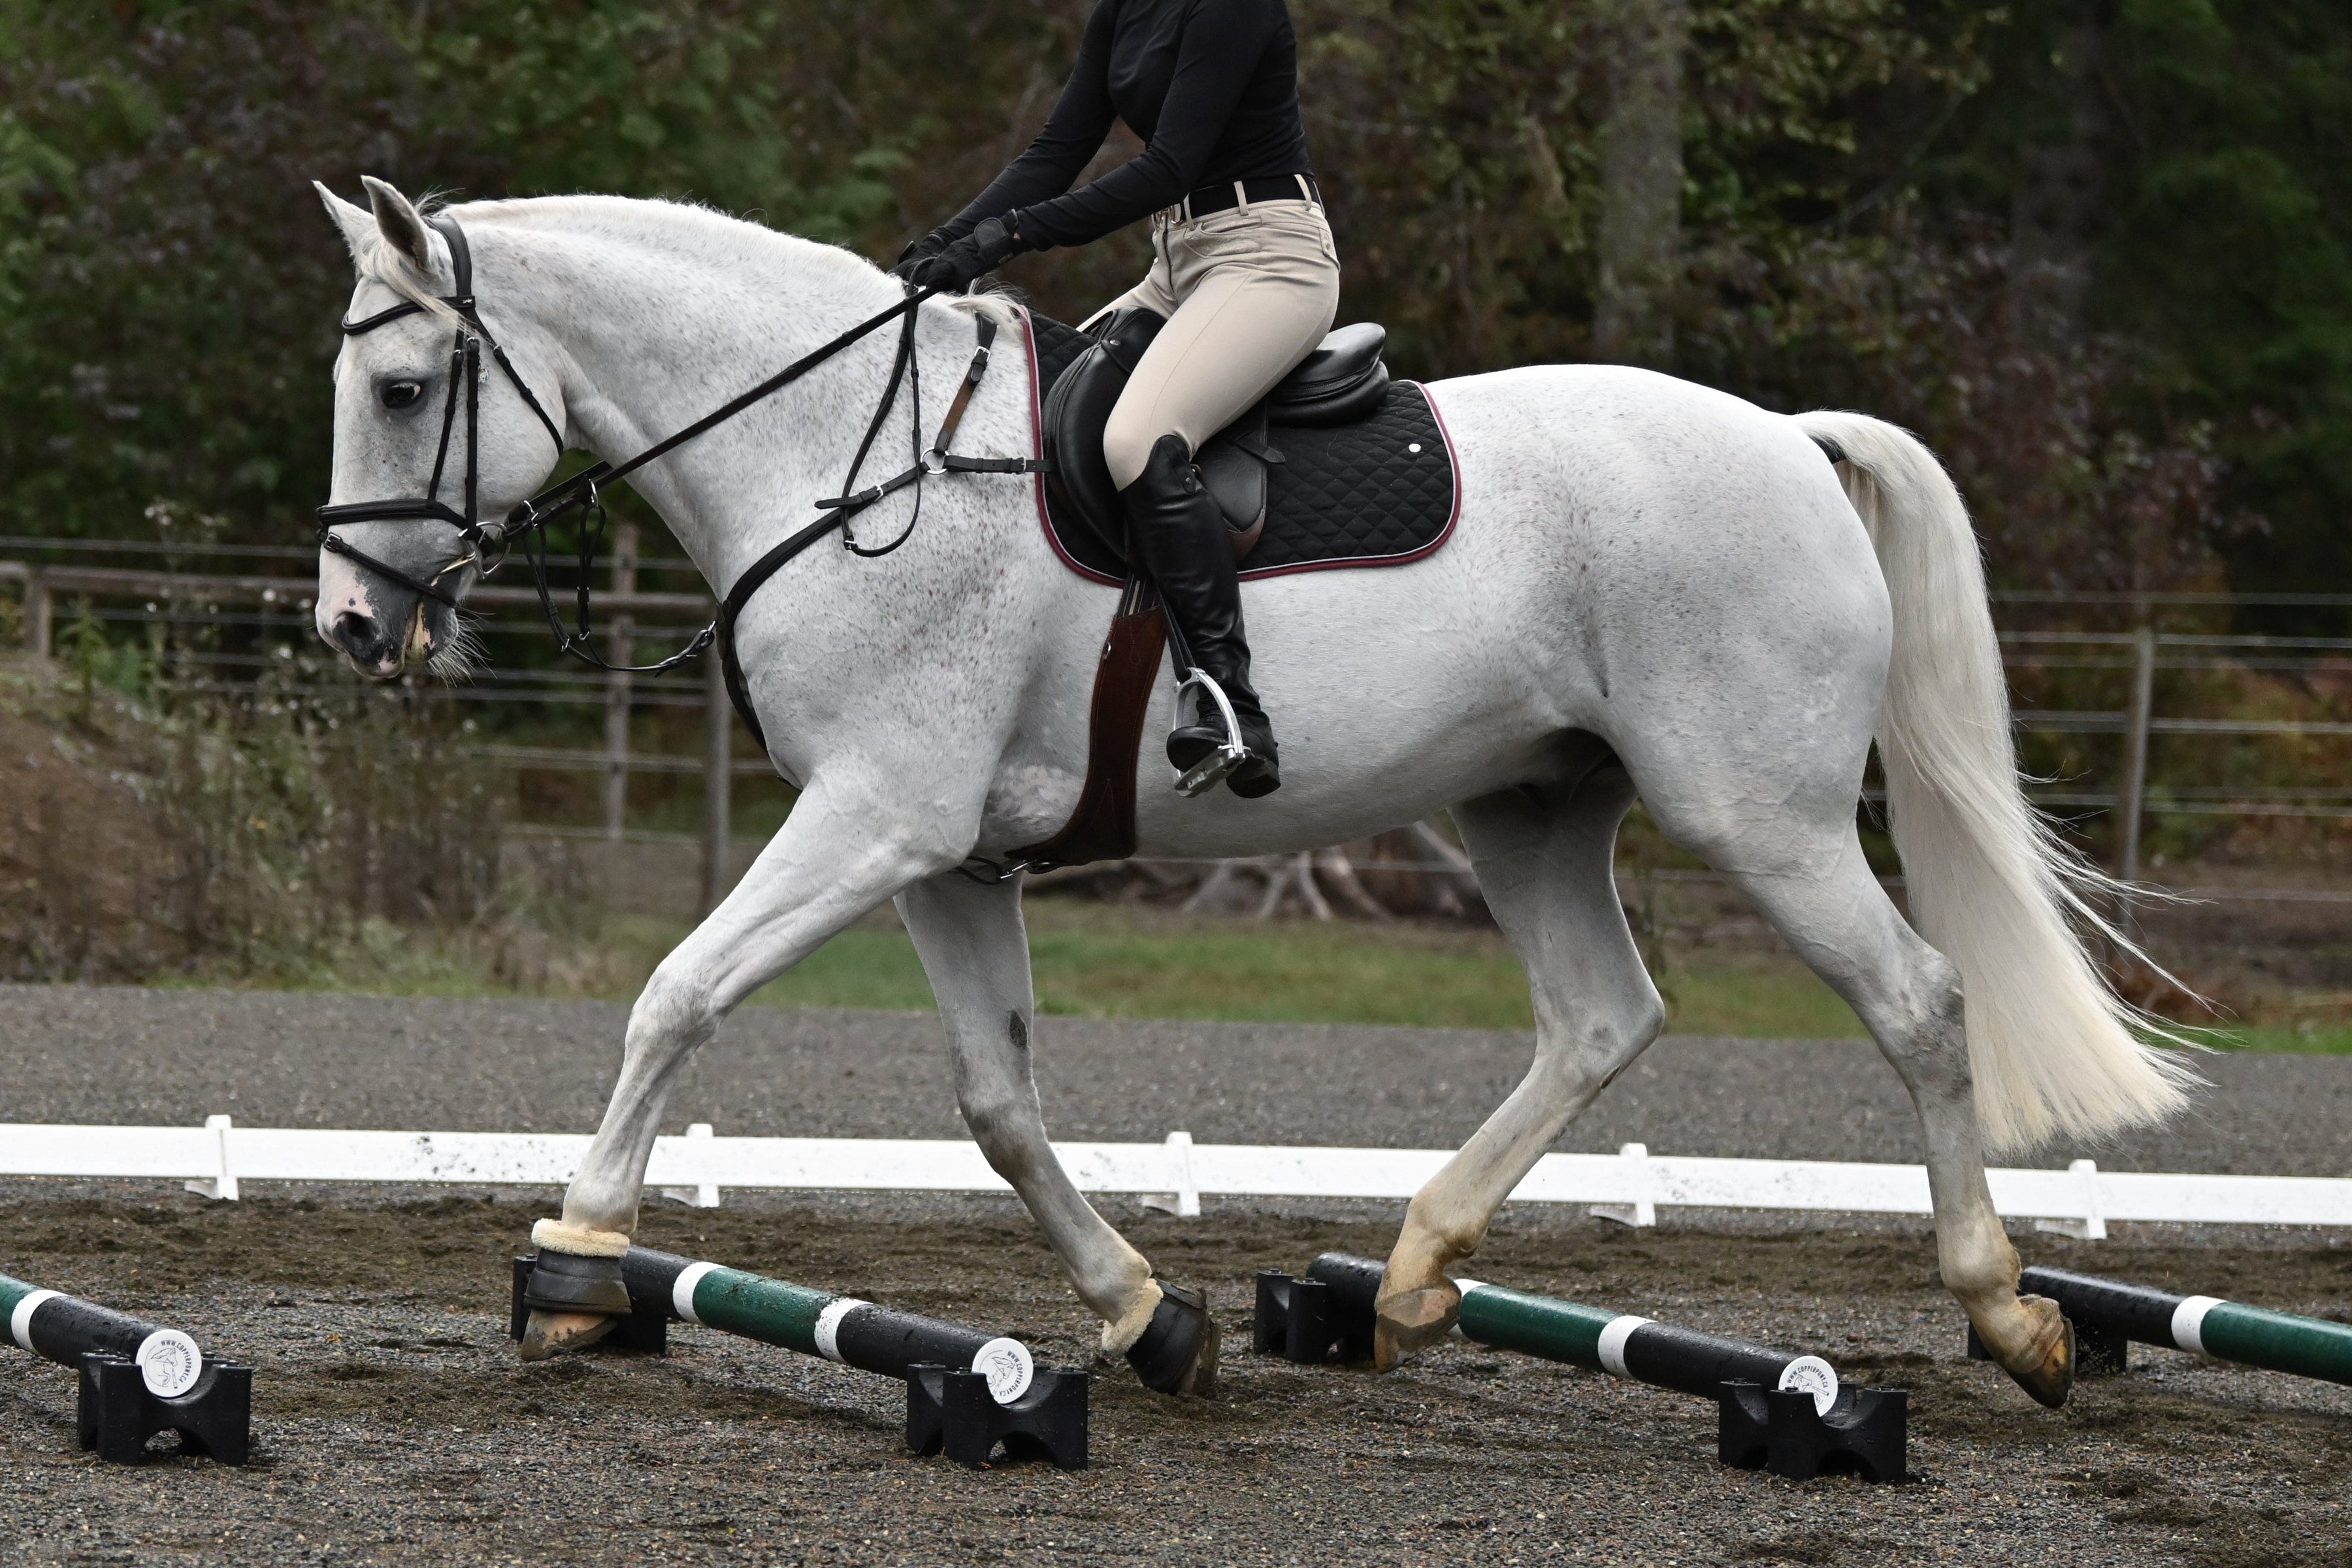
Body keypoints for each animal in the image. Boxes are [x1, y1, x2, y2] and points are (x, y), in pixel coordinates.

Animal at [311, 175, 2194, 1407]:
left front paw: (575, 1263)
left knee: (1921, 1004)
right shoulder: (946, 859)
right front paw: (1144, 1317)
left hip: (1765, 818)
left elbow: (677, 993)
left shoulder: (874, 818)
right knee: (1600, 1017)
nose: (346, 629)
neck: (843, 455)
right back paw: (1417, 1278)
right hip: (1529, 804)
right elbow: (997, 1103)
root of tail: (1791, 439)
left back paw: (2011, 1321)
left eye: (403, 388)